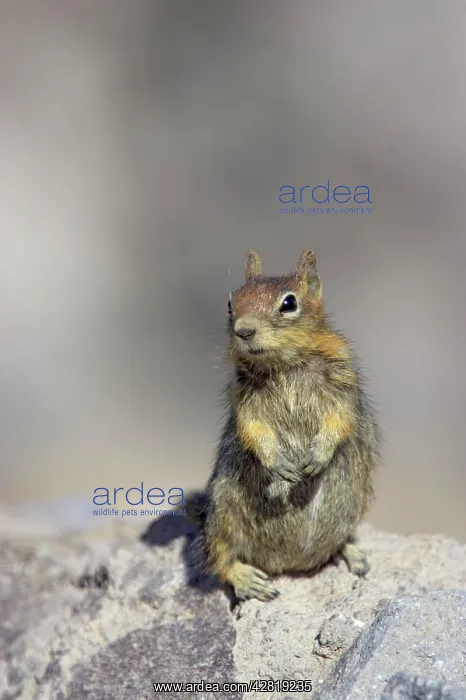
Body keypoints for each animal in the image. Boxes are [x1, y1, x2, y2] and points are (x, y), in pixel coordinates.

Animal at [183, 249, 381, 602]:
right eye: (231, 302)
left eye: (289, 303)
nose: (244, 330)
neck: (283, 364)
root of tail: (291, 565)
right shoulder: (245, 398)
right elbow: (253, 428)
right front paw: (278, 465)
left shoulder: (342, 381)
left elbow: (340, 418)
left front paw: (317, 456)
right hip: (221, 516)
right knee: (218, 560)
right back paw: (248, 579)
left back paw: (352, 554)